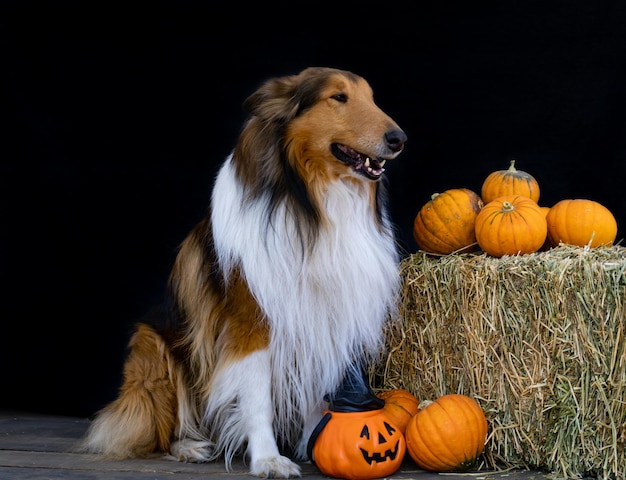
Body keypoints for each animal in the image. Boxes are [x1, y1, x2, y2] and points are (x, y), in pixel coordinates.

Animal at [79, 66, 404, 476]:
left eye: (372, 98)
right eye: (338, 97)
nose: (399, 139)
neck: (310, 203)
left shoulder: (321, 316)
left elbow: (315, 389)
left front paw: (313, 442)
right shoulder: (251, 324)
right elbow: (257, 399)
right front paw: (268, 458)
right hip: (153, 352)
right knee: (159, 430)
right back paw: (190, 446)